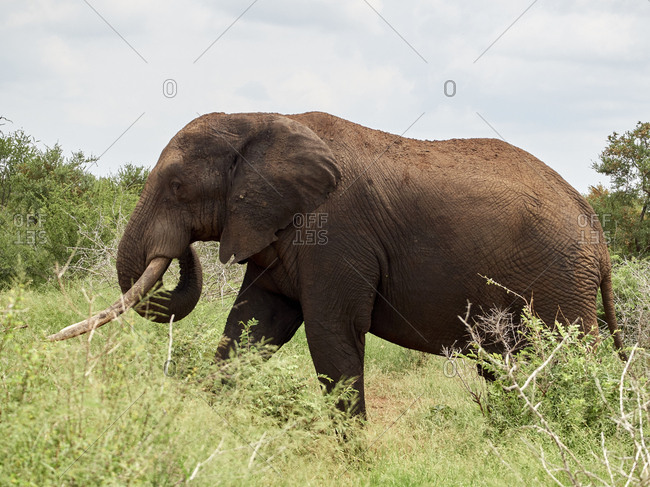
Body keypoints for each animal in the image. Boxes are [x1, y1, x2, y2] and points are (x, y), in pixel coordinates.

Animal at [49, 111, 624, 416]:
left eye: (175, 187)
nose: (182, 249)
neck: (259, 121)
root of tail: (598, 234)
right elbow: (253, 325)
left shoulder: (336, 236)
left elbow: (331, 334)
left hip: (559, 283)